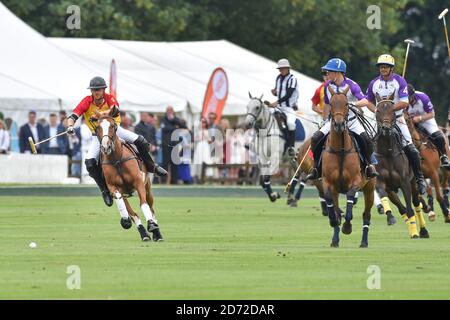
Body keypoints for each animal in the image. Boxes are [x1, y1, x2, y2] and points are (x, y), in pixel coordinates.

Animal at [95, 111, 163, 241]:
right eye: (97, 128)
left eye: (113, 126)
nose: (106, 147)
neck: (116, 160)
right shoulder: (114, 187)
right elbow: (128, 209)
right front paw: (126, 221)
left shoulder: (138, 182)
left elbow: (143, 204)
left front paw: (152, 225)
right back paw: (145, 233)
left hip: (147, 187)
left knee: (151, 208)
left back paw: (157, 233)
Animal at [322, 85, 374, 248]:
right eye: (332, 104)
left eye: (346, 104)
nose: (339, 124)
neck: (340, 150)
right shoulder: (328, 183)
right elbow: (332, 206)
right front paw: (334, 222)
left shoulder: (356, 181)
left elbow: (351, 197)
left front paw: (347, 227)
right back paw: (335, 240)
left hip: (370, 188)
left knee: (366, 215)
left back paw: (364, 242)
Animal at [372, 94, 428, 239]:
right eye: (378, 111)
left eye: (393, 111)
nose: (386, 128)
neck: (388, 152)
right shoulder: (381, 181)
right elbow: (385, 196)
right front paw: (390, 217)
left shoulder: (405, 183)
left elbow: (410, 208)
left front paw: (415, 232)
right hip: (392, 189)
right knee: (401, 207)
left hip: (413, 183)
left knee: (415, 204)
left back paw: (423, 231)